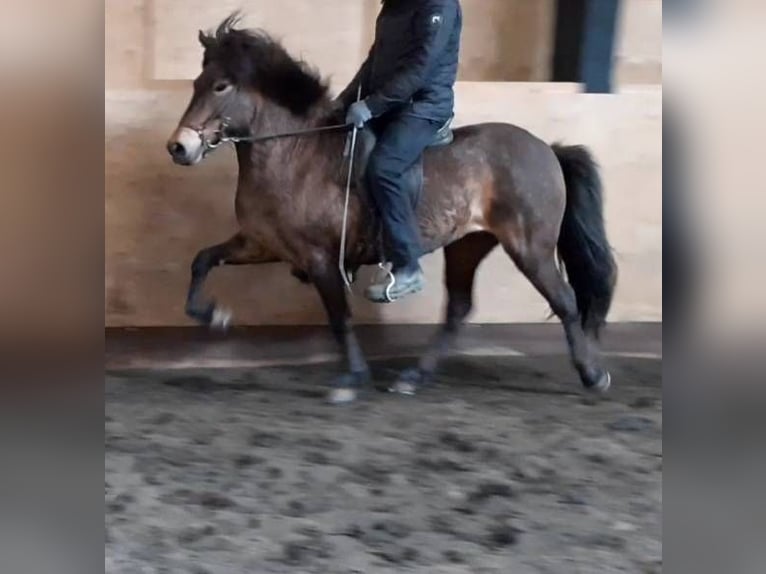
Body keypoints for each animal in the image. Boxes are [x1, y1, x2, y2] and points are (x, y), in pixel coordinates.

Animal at [166, 18, 616, 404]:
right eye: (197, 83)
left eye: (221, 86)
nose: (179, 148)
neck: (294, 153)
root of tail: (547, 149)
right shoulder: (261, 244)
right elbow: (201, 261)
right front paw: (215, 315)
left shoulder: (320, 258)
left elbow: (339, 317)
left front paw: (351, 378)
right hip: (467, 245)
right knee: (457, 309)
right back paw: (413, 377)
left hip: (530, 246)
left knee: (565, 301)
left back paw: (593, 375)